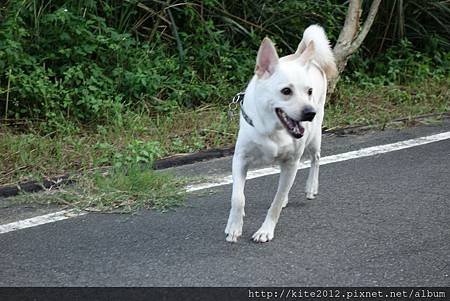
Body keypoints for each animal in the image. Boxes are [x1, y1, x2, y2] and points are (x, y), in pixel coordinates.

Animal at [227, 24, 336, 243]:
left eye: (309, 91)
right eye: (286, 91)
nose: (309, 113)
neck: (272, 130)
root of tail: (301, 54)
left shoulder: (292, 162)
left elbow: (275, 203)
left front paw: (265, 231)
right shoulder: (240, 159)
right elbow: (238, 197)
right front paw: (234, 227)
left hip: (315, 138)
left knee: (316, 159)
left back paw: (311, 187)